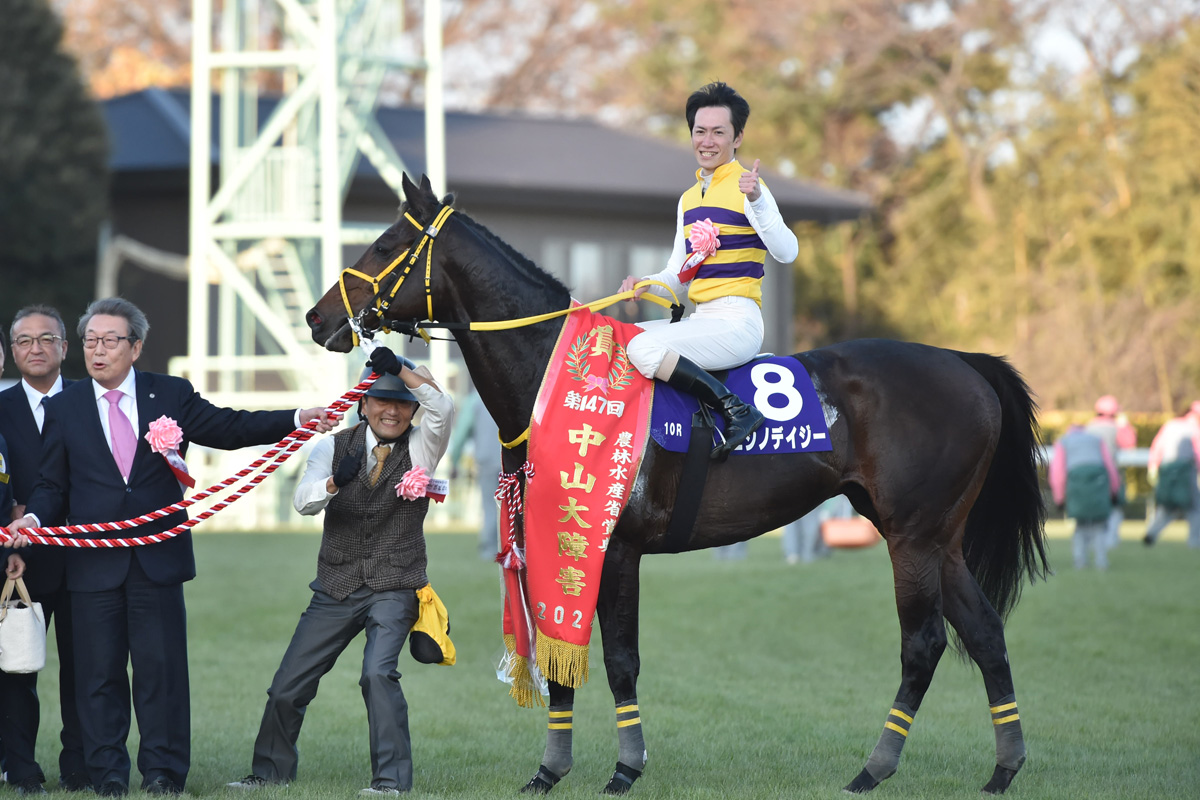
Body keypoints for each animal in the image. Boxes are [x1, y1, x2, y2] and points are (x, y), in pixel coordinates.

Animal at [305, 174, 1049, 795]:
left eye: (385, 242)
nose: (318, 318)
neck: (556, 374)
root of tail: (963, 363)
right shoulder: (555, 537)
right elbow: (562, 658)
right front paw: (548, 772)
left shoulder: (616, 547)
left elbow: (619, 659)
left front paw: (624, 769)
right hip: (938, 539)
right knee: (986, 633)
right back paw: (1003, 769)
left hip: (912, 538)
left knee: (923, 646)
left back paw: (874, 769)